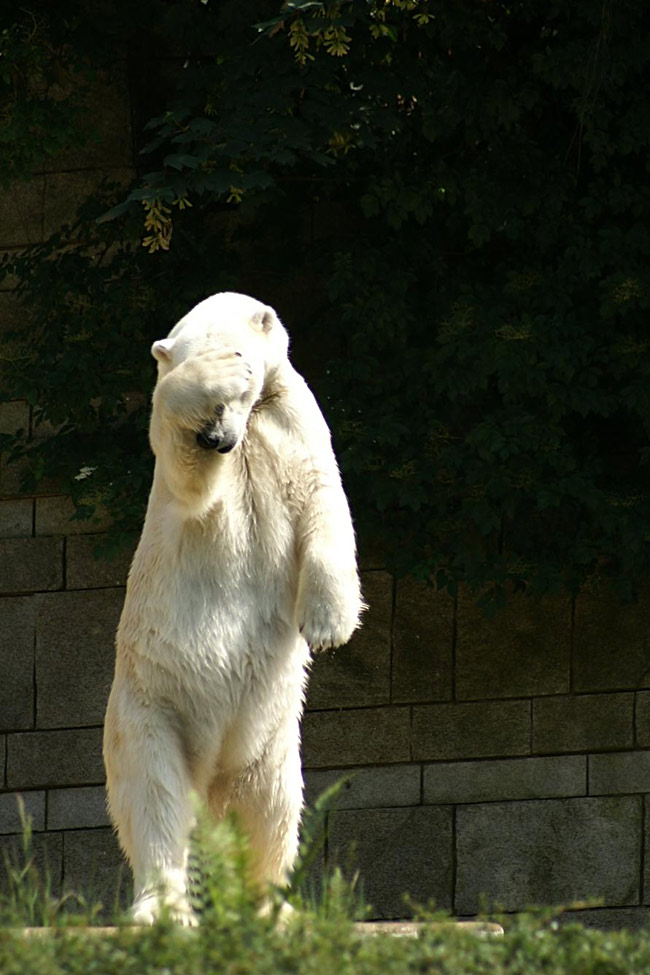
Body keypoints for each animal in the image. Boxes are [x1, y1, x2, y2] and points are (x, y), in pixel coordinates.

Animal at [104, 294, 362, 928]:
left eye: (247, 387)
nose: (219, 439)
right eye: (211, 409)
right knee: (156, 798)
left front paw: (327, 625)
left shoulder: (294, 422)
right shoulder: (189, 468)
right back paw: (161, 907)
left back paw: (271, 909)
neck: (250, 430)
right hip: (147, 711)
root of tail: (212, 783)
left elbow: (323, 499)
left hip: (270, 741)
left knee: (272, 809)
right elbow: (187, 473)